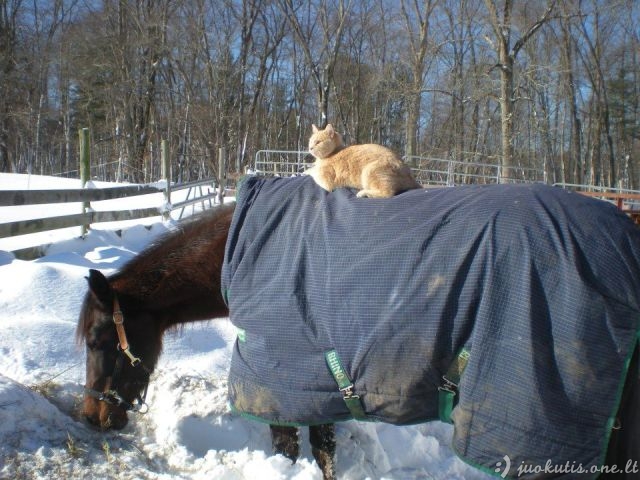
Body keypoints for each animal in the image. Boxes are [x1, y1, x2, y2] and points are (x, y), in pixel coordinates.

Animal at [79, 177, 640, 480]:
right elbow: (324, 447)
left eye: (99, 340)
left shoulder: (280, 380)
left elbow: (294, 448)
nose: (92, 416)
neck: (248, 252)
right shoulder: (320, 381)